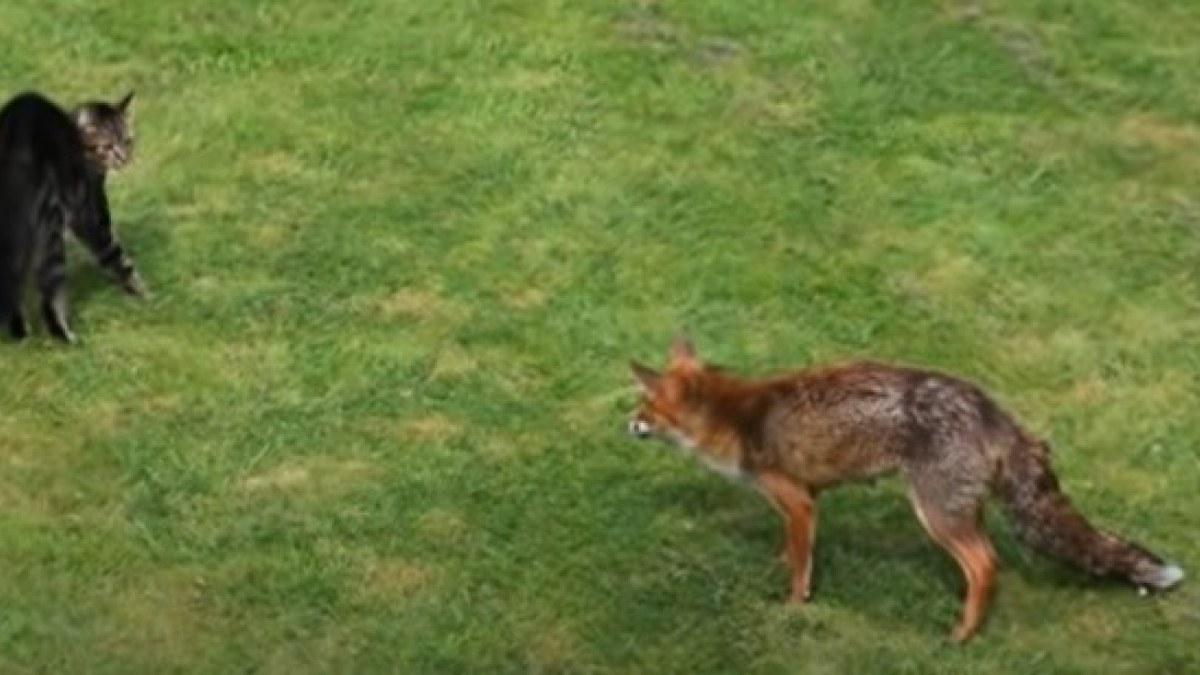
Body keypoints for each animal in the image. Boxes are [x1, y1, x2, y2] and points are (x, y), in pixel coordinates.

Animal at [0, 89, 144, 341]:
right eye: (107, 145)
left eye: (127, 140)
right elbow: (118, 257)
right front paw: (145, 295)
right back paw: (65, 338)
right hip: (50, 234)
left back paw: (21, 336)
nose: (124, 158)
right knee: (50, 298)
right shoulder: (92, 216)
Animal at [624, 336, 1185, 638]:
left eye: (645, 407)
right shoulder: (808, 501)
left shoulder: (797, 499)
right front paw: (777, 567)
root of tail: (991, 409)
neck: (738, 418)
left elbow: (801, 571)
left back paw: (961, 636)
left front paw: (793, 610)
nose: (627, 424)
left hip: (935, 513)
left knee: (985, 565)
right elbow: (792, 552)